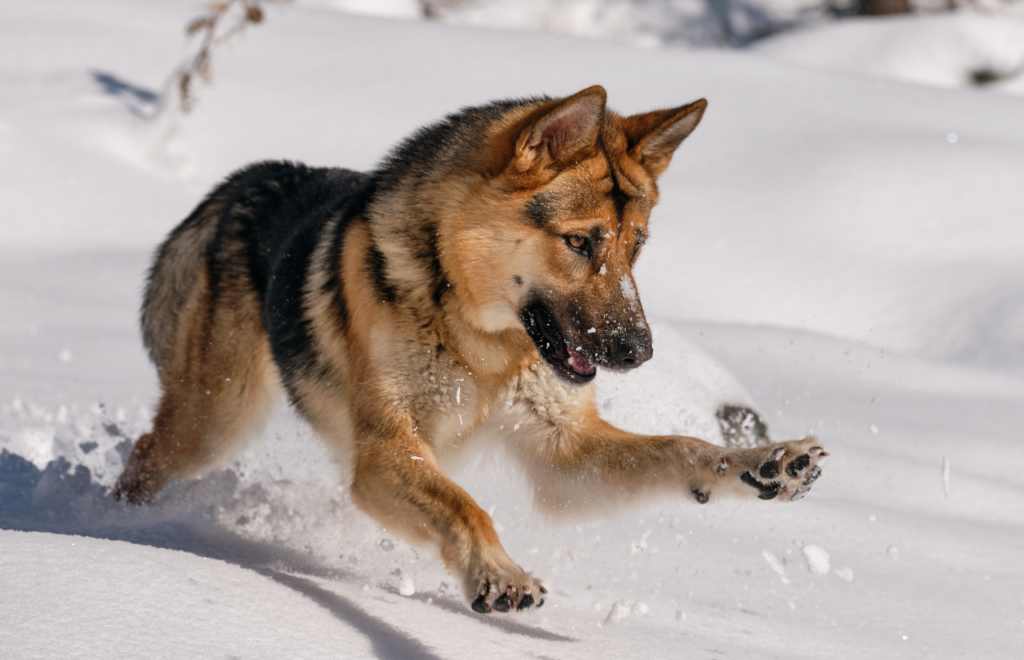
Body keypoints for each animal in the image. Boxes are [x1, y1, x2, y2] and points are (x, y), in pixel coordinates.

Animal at [116, 86, 827, 613]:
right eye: (579, 242)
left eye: (638, 246)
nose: (640, 352)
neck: (478, 339)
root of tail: (245, 180)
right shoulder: (384, 453)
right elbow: (466, 505)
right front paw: (498, 573)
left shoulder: (563, 453)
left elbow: (685, 448)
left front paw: (768, 462)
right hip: (216, 423)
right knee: (143, 458)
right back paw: (121, 531)